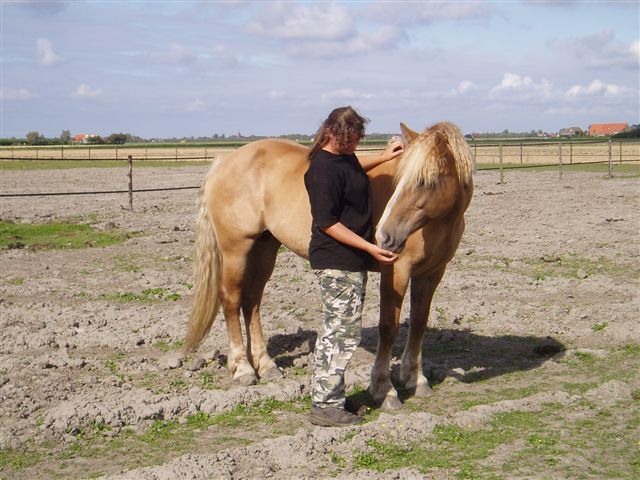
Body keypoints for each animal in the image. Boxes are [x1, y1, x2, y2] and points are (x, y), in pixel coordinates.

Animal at [182, 120, 472, 408]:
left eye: (427, 182)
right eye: (400, 180)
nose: (384, 236)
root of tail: (224, 161)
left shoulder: (431, 274)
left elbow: (419, 324)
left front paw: (416, 379)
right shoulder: (397, 272)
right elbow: (388, 327)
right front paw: (384, 389)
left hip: (265, 247)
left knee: (251, 301)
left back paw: (265, 365)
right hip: (236, 250)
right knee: (231, 299)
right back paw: (243, 368)